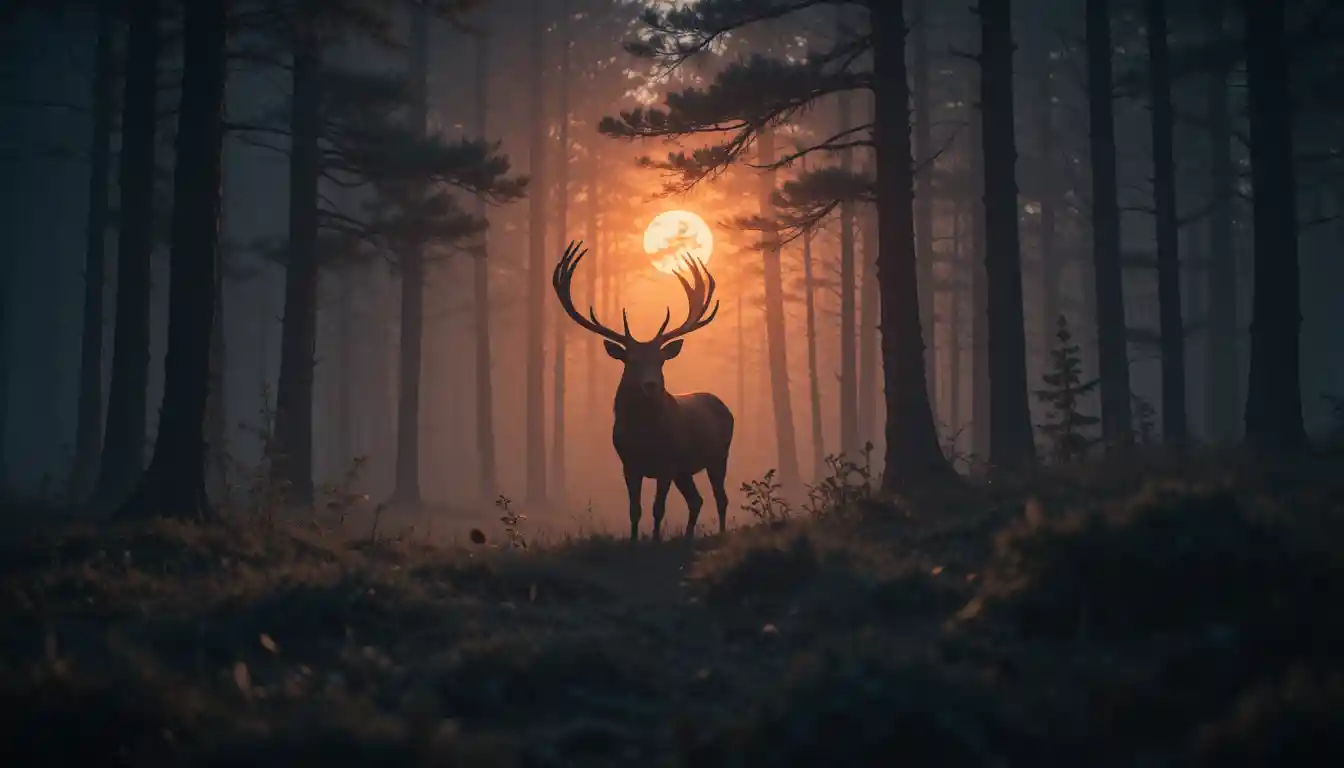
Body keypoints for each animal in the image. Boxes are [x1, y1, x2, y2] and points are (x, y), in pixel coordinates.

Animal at [553, 240, 734, 542]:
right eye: (632, 361)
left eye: (660, 361)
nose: (651, 385)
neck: (645, 435)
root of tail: (724, 406)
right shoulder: (629, 464)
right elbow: (634, 510)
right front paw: (635, 541)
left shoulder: (666, 463)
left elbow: (657, 509)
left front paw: (657, 540)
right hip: (685, 470)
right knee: (697, 500)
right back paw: (687, 536)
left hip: (718, 455)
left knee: (720, 498)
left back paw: (720, 533)